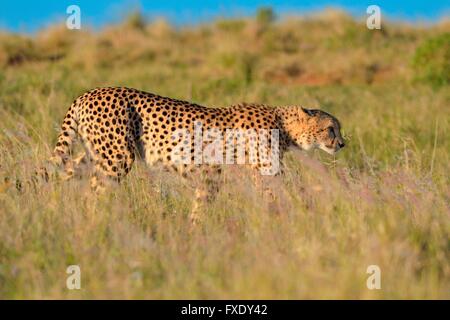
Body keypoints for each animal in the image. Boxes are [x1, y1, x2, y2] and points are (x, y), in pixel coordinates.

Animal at [49, 87, 344, 221]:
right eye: (331, 128)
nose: (342, 143)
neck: (283, 125)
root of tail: (87, 93)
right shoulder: (254, 176)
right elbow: (279, 199)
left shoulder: (216, 174)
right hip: (117, 157)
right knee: (94, 191)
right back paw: (95, 222)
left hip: (96, 153)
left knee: (66, 171)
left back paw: (52, 209)